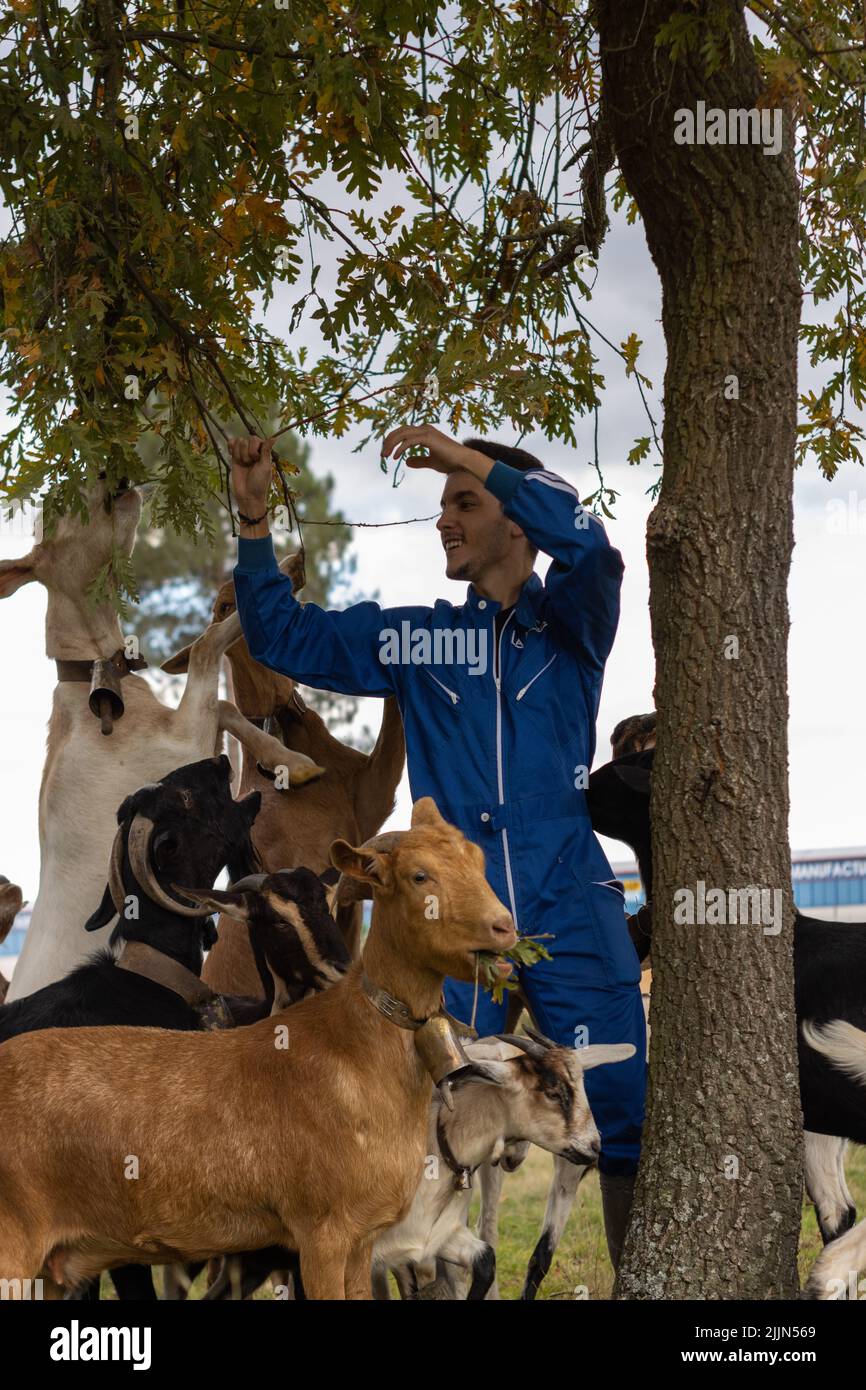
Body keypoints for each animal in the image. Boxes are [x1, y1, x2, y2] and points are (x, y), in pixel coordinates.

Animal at [0, 480, 325, 1000]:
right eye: (55, 510)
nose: (111, 477)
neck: (100, 696)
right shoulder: (181, 748)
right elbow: (209, 647)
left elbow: (226, 705)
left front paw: (290, 761)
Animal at [0, 800, 514, 1295]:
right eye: (418, 876)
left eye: (478, 861)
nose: (504, 928)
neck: (357, 1049)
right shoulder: (322, 1234)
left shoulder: (363, 1240)